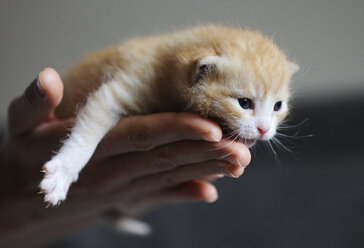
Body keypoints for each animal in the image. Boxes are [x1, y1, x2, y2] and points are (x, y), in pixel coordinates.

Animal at [39, 25, 298, 207]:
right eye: (244, 103)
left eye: (278, 106)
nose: (264, 129)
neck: (165, 64)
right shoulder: (124, 86)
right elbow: (87, 134)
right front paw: (62, 175)